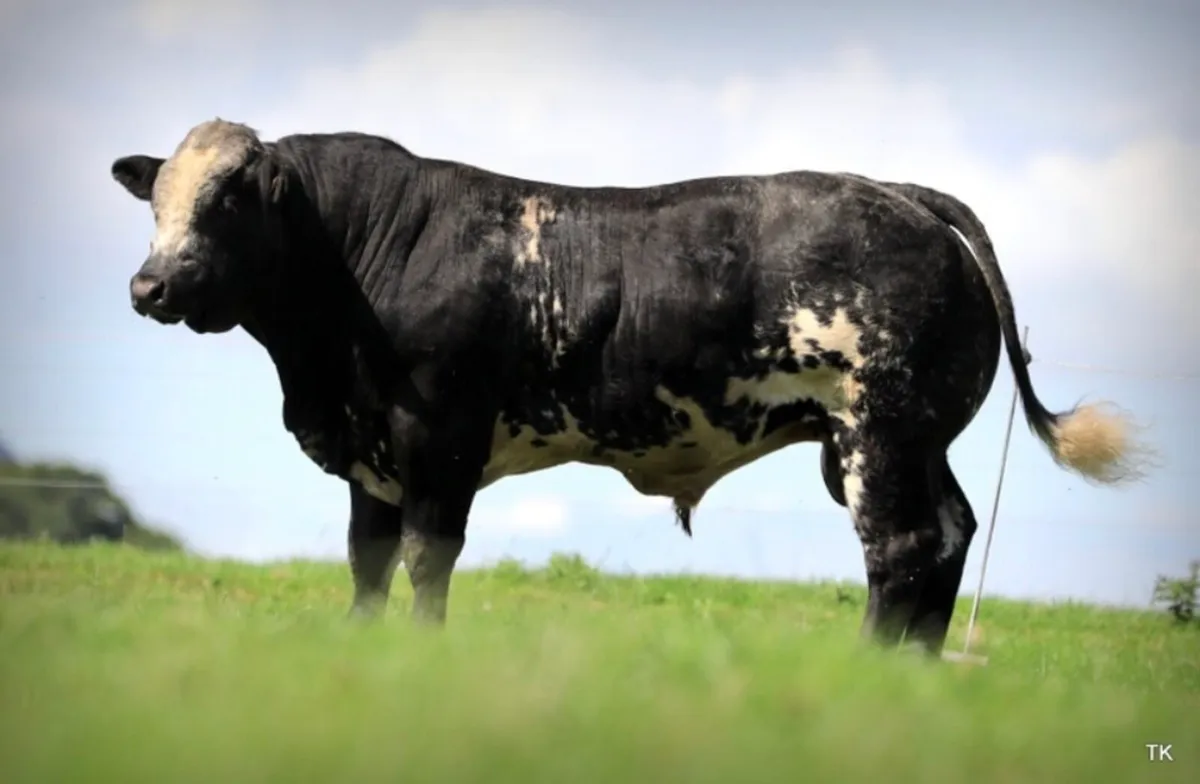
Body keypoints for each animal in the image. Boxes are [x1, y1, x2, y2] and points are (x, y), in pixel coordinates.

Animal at [109, 118, 1152, 655]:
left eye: (226, 200)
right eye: (156, 200)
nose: (148, 286)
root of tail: (902, 193)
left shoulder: (438, 437)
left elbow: (425, 558)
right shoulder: (373, 454)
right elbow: (367, 563)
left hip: (881, 433)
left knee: (899, 549)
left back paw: (867, 666)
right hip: (906, 440)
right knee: (950, 534)